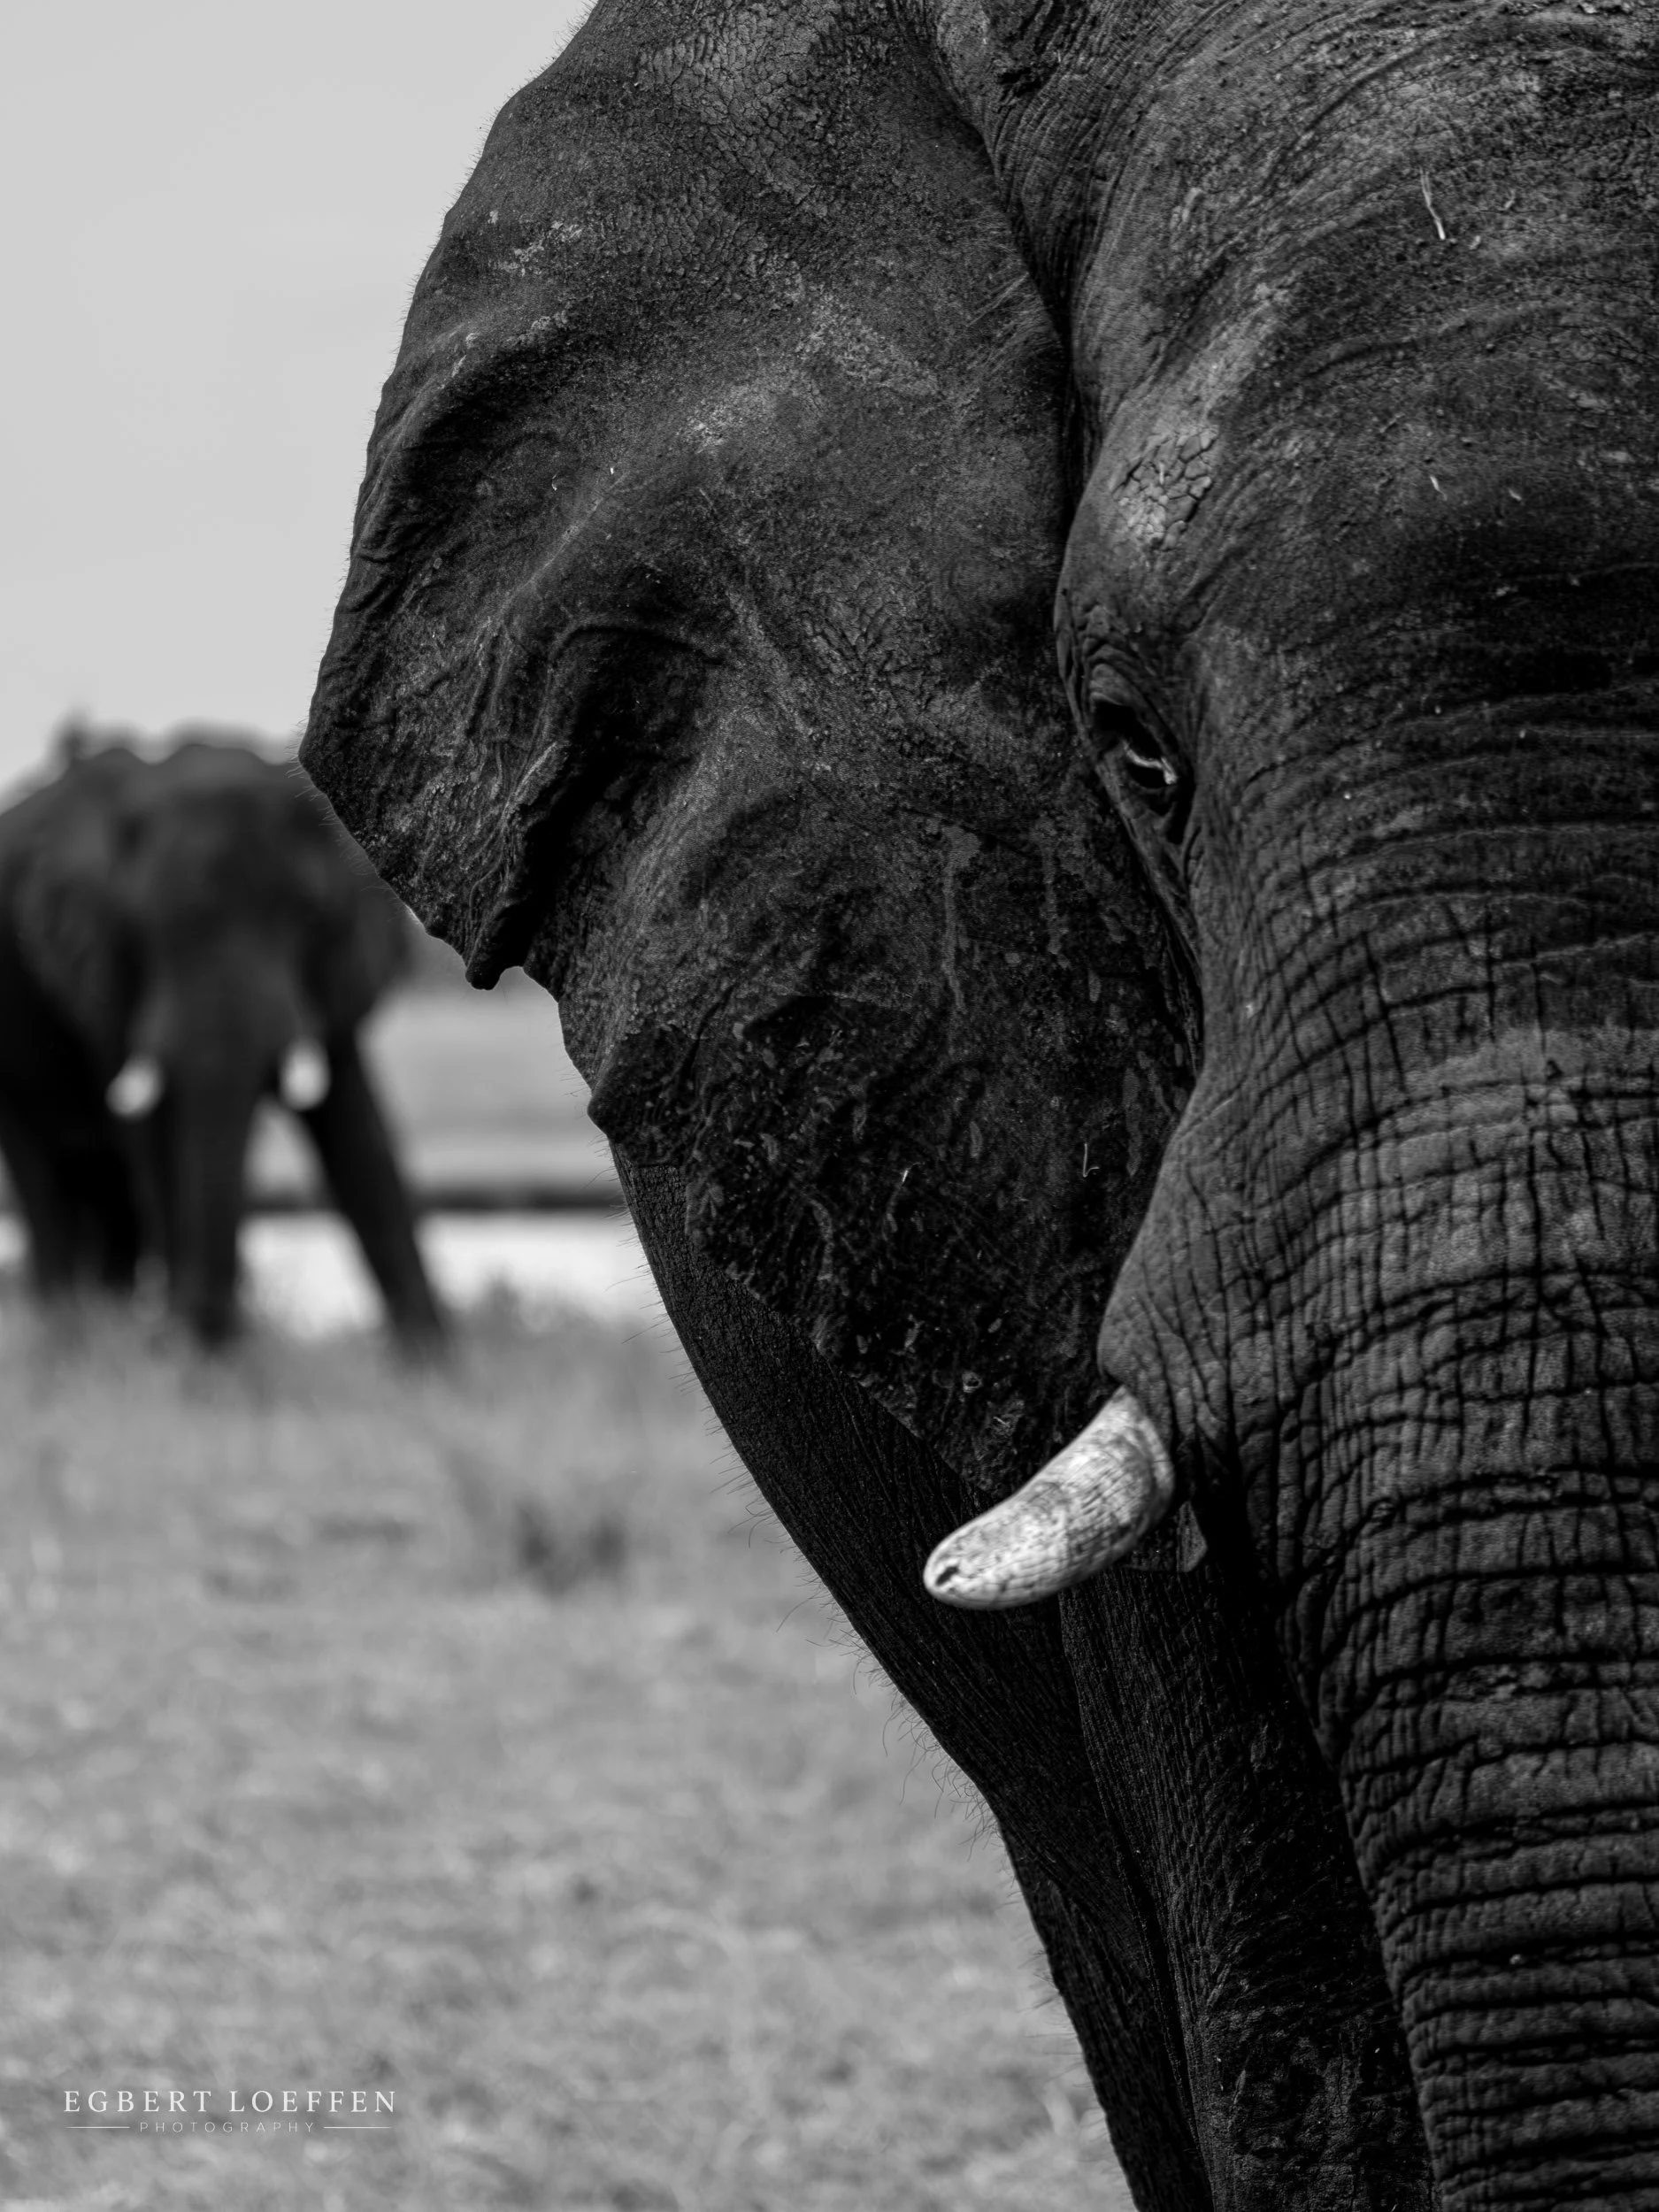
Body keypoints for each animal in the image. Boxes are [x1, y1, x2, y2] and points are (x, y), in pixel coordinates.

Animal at [0, 733, 446, 1350]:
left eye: (307, 918)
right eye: (140, 927)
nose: (198, 1336)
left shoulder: (332, 974)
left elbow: (359, 1132)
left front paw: (434, 1363)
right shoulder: (104, 971)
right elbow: (155, 1134)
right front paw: (189, 1359)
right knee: (44, 1179)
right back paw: (70, 1328)